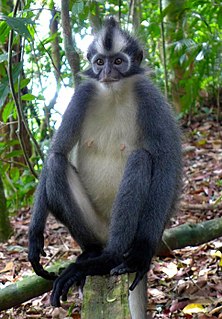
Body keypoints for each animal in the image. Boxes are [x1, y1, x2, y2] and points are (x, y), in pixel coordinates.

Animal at [27, 16, 181, 319]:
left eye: (119, 62)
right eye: (100, 62)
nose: (108, 72)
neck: (113, 93)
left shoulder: (149, 96)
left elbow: (167, 164)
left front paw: (142, 255)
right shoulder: (82, 94)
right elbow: (57, 151)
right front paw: (35, 238)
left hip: (126, 229)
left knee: (141, 159)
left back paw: (109, 259)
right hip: (96, 227)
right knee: (56, 164)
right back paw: (91, 254)